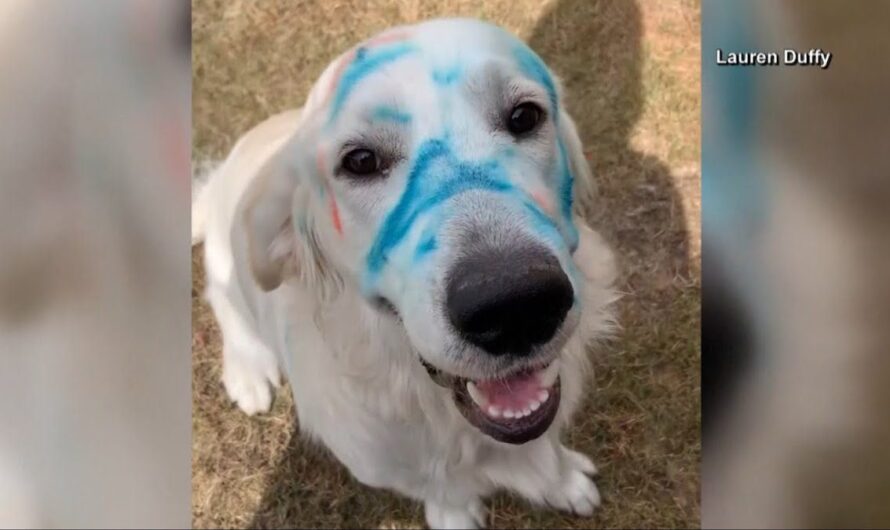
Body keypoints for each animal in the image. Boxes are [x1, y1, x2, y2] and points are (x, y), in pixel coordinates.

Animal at [191, 18, 612, 524]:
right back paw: (247, 370)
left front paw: (563, 481)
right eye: (360, 161)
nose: (515, 307)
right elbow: (442, 490)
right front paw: (455, 515)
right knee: (222, 300)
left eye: (524, 117)